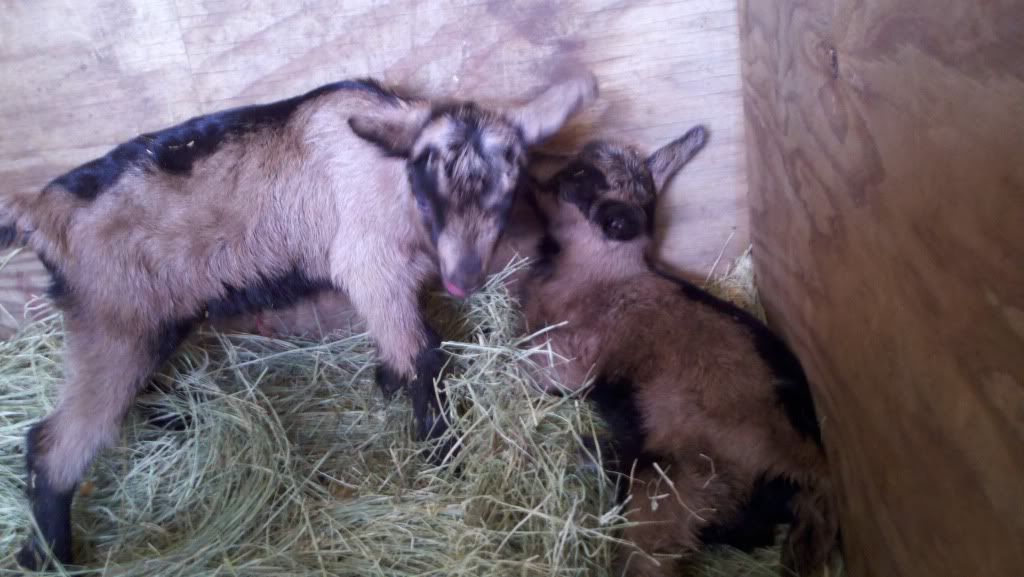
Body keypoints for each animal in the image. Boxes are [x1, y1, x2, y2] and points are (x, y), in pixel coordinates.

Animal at [0, 74, 598, 569]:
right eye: (431, 195)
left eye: (507, 193)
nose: (464, 279)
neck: (389, 177)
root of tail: (41, 214)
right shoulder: (369, 263)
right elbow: (424, 352)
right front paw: (441, 452)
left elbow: (402, 345)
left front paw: (388, 384)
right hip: (111, 320)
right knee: (54, 441)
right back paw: (47, 553)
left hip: (141, 322)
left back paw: (177, 420)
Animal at [520, 128, 839, 577]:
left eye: (578, 176)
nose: (523, 155)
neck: (601, 274)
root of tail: (811, 472)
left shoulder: (571, 360)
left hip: (679, 482)